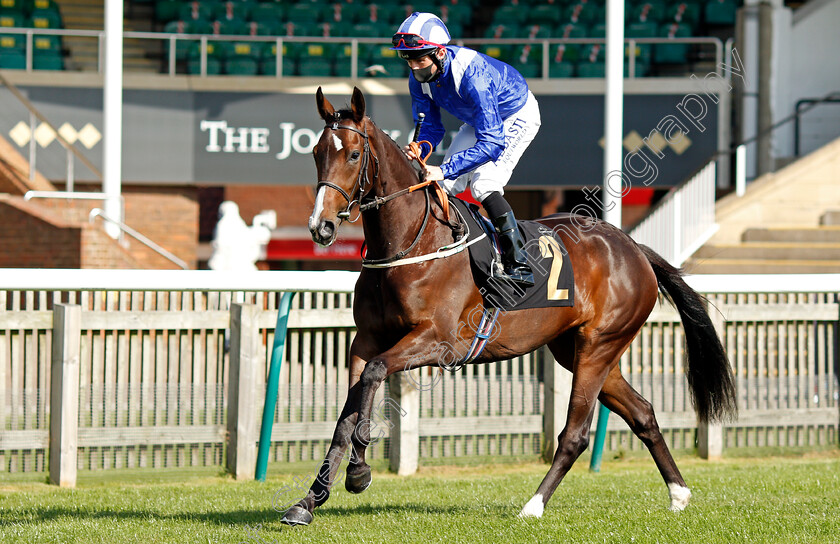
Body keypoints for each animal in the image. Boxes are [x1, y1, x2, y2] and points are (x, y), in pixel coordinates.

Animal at [282, 87, 736, 524]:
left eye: (353, 154)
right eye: (317, 152)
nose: (320, 227)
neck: (412, 242)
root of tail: (634, 247)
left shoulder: (438, 341)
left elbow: (373, 378)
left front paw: (358, 472)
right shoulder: (366, 340)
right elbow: (347, 413)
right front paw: (310, 500)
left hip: (600, 345)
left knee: (575, 434)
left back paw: (533, 505)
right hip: (580, 350)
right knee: (642, 412)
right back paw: (679, 494)